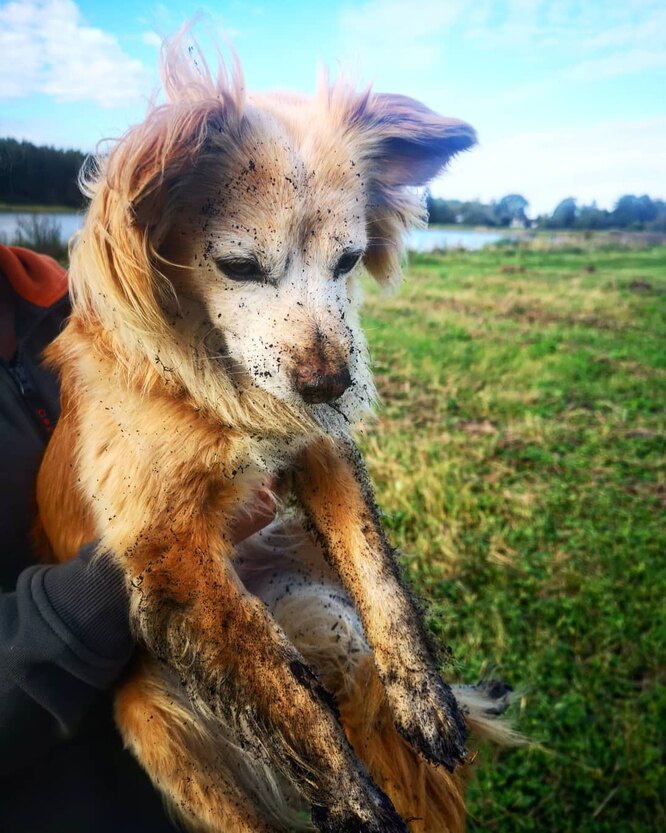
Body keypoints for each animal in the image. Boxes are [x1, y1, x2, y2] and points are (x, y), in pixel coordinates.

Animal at [35, 26, 508, 832]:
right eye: (237, 265)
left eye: (349, 260)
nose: (329, 385)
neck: (213, 385)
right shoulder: (165, 539)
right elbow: (279, 684)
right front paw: (354, 801)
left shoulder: (316, 446)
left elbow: (376, 570)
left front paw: (424, 697)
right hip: (170, 736)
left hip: (325, 611)